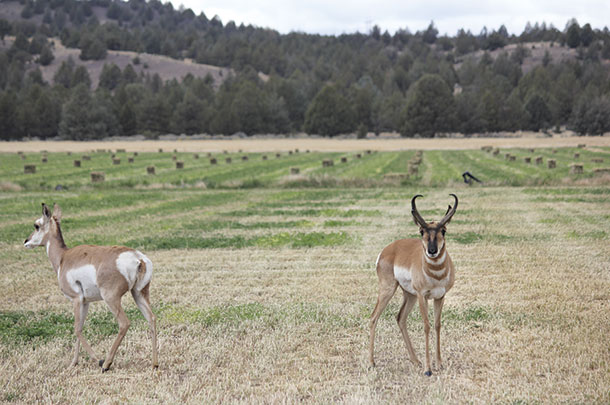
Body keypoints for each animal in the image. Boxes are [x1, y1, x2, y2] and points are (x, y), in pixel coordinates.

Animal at [24, 204, 158, 370]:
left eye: (36, 225)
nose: (26, 241)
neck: (63, 257)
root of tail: (138, 258)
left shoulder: (76, 299)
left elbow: (76, 329)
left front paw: (97, 359)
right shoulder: (85, 302)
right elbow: (80, 328)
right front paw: (73, 363)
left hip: (111, 299)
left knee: (124, 323)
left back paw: (106, 363)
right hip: (139, 293)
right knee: (151, 318)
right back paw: (155, 364)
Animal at [366, 193, 456, 376]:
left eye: (443, 230)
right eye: (422, 231)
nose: (432, 250)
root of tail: (388, 249)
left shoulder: (440, 297)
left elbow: (437, 325)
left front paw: (439, 364)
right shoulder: (423, 296)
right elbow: (426, 326)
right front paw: (428, 370)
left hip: (409, 295)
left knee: (400, 317)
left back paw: (416, 360)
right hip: (389, 290)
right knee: (373, 317)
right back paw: (371, 363)